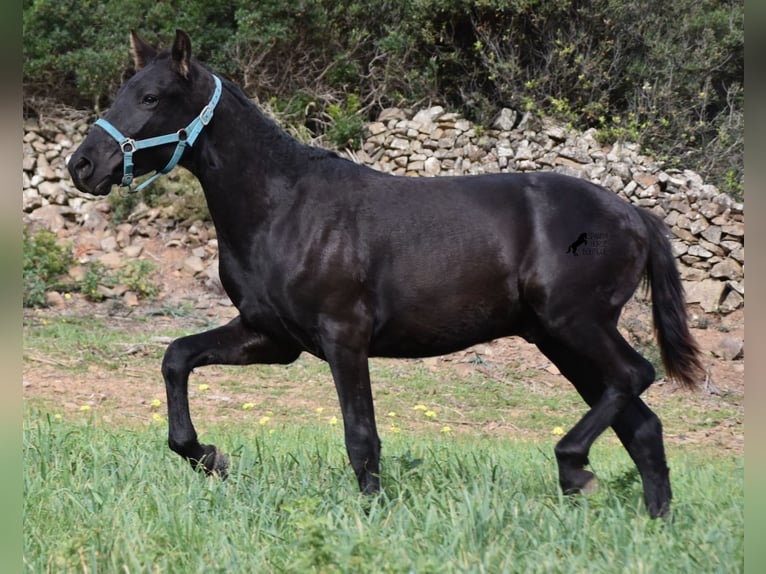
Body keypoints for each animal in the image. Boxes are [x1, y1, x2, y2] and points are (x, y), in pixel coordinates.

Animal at [69, 29, 704, 520]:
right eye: (123, 92)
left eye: (151, 96)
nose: (83, 165)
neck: (284, 205)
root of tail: (635, 216)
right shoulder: (271, 337)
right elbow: (176, 357)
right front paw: (208, 456)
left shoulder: (344, 337)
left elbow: (361, 436)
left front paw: (371, 514)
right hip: (560, 341)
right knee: (642, 425)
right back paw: (651, 524)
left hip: (576, 325)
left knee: (636, 376)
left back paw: (574, 468)